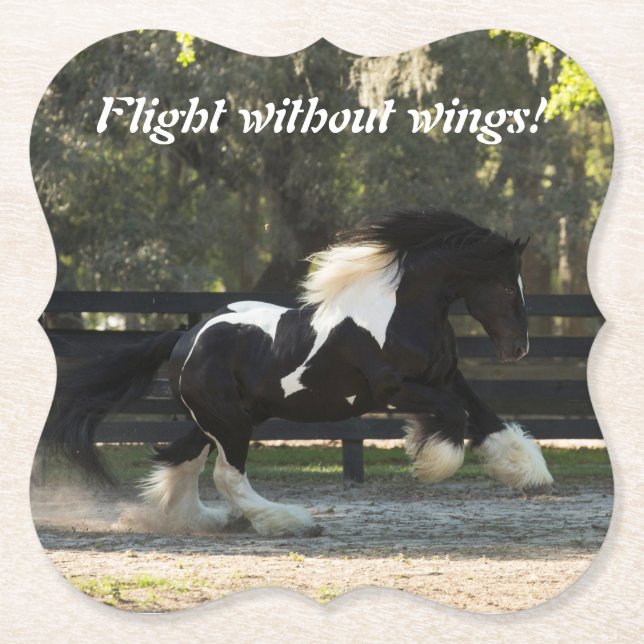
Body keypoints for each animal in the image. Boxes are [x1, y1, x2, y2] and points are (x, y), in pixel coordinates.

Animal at [46, 208, 553, 536]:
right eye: (508, 287)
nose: (519, 349)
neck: (400, 311)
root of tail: (185, 339)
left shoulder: (445, 378)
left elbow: (485, 417)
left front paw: (529, 474)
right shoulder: (395, 389)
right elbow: (455, 416)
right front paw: (431, 462)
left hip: (225, 418)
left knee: (180, 459)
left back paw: (198, 521)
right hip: (230, 423)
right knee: (226, 475)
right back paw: (290, 522)